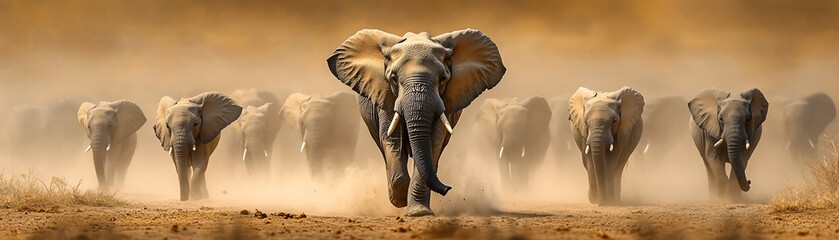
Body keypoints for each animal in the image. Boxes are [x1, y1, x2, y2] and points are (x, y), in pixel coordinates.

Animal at [328, 28, 506, 216]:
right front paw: (399, 200)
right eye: (393, 78)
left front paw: (418, 213)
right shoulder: (386, 96)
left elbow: (433, 143)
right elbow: (391, 140)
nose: (448, 188)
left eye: (442, 79)